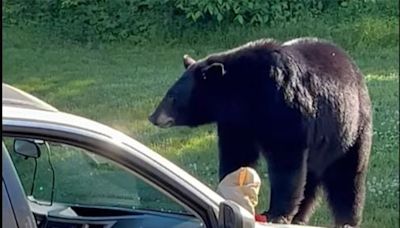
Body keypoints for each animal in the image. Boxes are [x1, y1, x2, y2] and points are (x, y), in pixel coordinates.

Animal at [149, 36, 372, 227]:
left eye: (172, 97)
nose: (153, 116)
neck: (245, 93)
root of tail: (352, 65)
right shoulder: (237, 122)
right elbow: (237, 154)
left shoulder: (284, 106)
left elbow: (286, 161)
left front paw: (276, 214)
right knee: (311, 179)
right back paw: (300, 216)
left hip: (349, 129)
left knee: (347, 176)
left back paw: (346, 219)